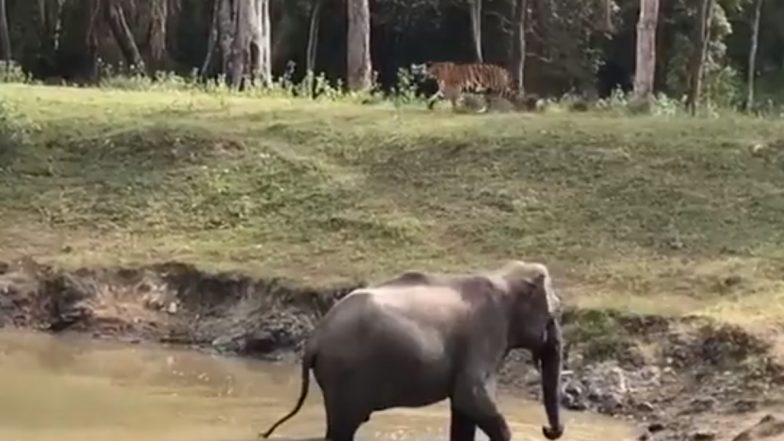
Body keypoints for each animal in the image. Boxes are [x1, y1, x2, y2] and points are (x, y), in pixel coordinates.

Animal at [262, 260, 564, 438]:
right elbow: (471, 396)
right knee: (342, 428)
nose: (547, 429)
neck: (502, 275)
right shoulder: (485, 333)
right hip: (343, 376)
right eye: (554, 314)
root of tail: (314, 339)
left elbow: (463, 409)